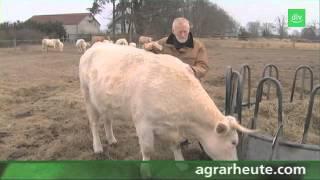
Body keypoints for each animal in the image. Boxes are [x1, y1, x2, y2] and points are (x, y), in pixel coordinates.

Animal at [79, 43, 254, 160]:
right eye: (234, 142)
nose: (235, 167)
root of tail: (95, 46)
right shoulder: (143, 124)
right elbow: (147, 150)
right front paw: (146, 172)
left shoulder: (172, 128)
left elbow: (176, 144)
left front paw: (181, 163)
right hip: (87, 95)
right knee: (93, 123)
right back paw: (98, 147)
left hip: (104, 100)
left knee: (107, 119)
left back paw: (112, 139)